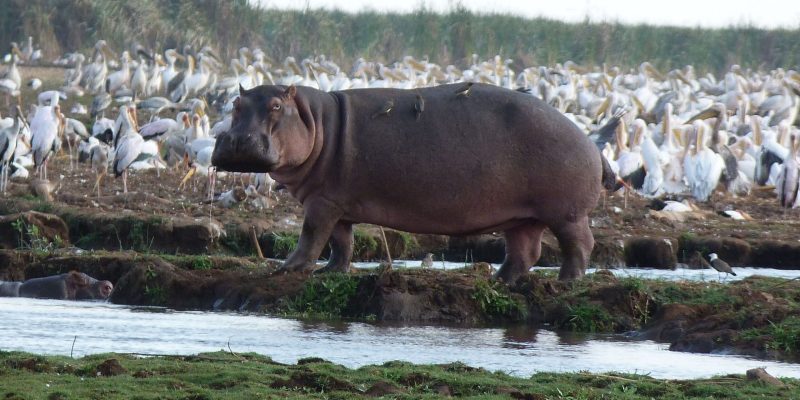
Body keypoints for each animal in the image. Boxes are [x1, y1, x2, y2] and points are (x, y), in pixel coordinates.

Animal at [211, 82, 612, 282]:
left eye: (277, 107)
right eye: (235, 104)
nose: (239, 141)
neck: (317, 119)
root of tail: (589, 140)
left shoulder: (322, 203)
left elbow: (311, 236)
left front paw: (287, 268)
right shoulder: (337, 202)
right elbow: (341, 241)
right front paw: (332, 271)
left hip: (566, 213)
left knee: (580, 244)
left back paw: (566, 281)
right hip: (523, 218)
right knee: (526, 251)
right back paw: (501, 279)